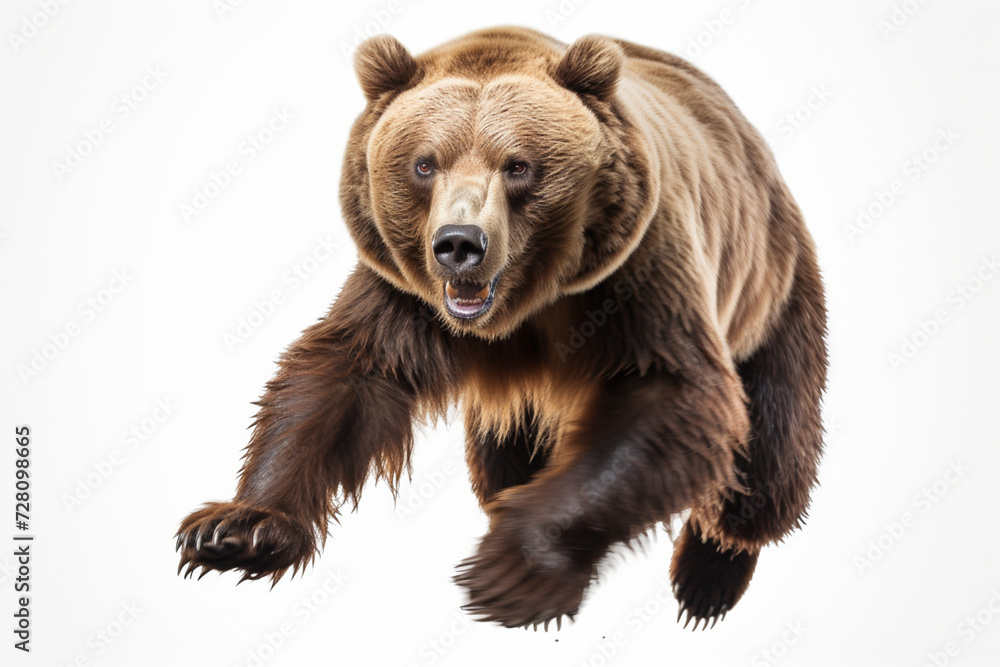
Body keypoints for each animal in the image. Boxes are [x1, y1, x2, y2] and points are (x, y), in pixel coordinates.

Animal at [176, 26, 827, 630]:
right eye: (424, 164)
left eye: (519, 166)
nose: (460, 244)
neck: (522, 307)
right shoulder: (404, 293)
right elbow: (344, 378)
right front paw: (236, 529)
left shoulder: (638, 270)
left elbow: (670, 393)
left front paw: (513, 571)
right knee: (504, 459)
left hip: (769, 289)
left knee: (767, 455)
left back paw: (708, 579)